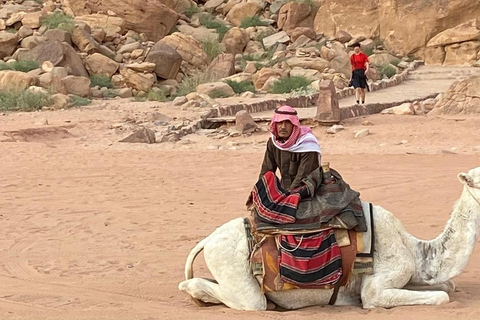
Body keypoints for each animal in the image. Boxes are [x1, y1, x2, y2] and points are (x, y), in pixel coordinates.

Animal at [178, 168, 480, 310]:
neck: (415, 249)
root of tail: (207, 240)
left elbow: (449, 286)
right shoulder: (377, 288)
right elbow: (442, 296)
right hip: (234, 270)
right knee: (247, 300)